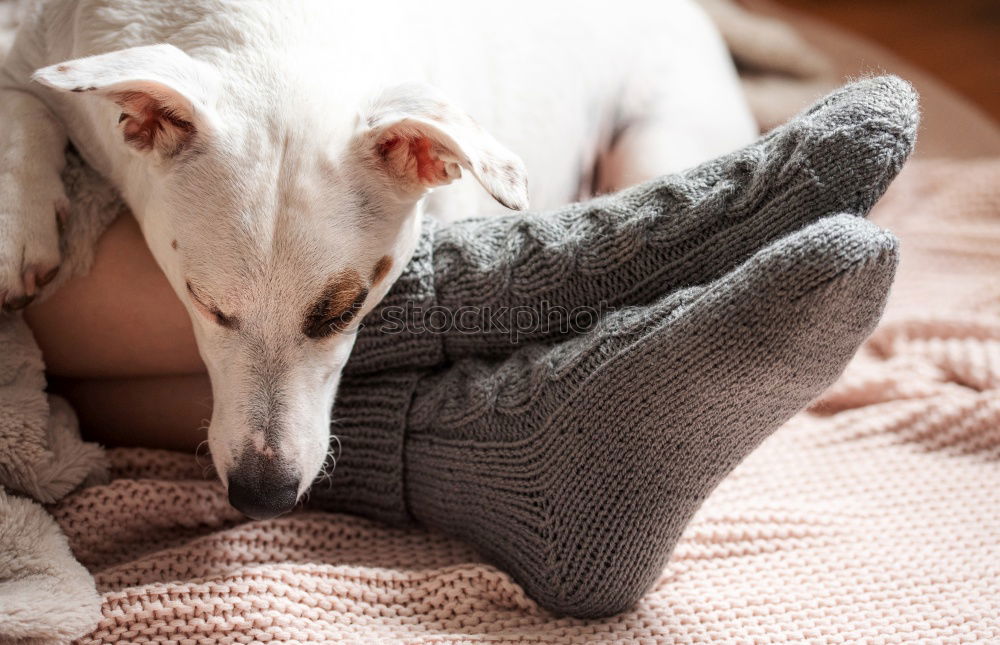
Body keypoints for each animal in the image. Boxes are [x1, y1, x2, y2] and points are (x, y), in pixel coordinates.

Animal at [0, 0, 752, 516]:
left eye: (346, 310)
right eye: (205, 304)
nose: (262, 496)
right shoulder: (31, 49)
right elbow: (22, 107)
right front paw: (19, 228)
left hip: (658, 138)